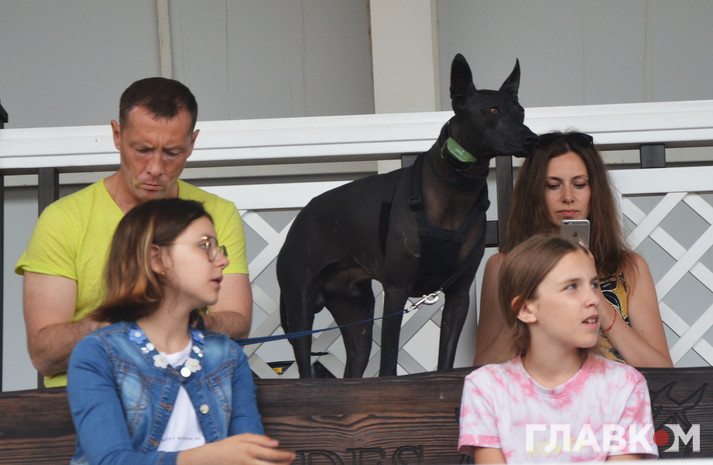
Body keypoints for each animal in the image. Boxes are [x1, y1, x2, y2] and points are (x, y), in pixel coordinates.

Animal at [277, 54, 536, 378]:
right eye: (493, 110)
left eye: (521, 112)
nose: (532, 140)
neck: (455, 188)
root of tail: (298, 220)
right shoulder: (396, 292)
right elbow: (389, 364)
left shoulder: (459, 296)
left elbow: (445, 361)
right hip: (299, 307)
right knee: (304, 367)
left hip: (357, 319)